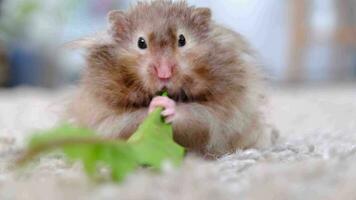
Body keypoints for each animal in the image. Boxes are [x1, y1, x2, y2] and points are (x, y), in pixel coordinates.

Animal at [67, 0, 278, 159]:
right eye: (141, 42)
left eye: (182, 40)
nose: (164, 73)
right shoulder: (105, 115)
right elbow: (131, 119)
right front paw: (155, 104)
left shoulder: (222, 113)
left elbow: (198, 116)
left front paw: (167, 105)